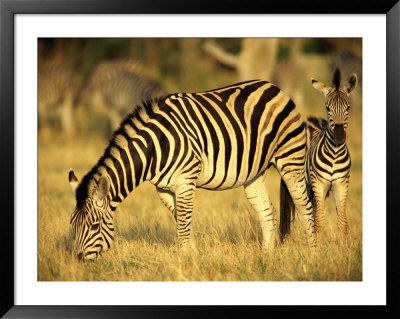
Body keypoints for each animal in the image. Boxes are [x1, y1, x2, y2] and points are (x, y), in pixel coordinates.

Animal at [69, 79, 316, 262]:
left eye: (94, 225)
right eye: (73, 225)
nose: (78, 260)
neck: (154, 148)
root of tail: (274, 87)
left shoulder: (186, 181)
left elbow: (184, 223)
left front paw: (186, 261)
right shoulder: (163, 188)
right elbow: (181, 219)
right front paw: (192, 256)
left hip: (290, 158)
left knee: (304, 205)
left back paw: (312, 253)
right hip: (253, 174)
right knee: (267, 211)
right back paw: (267, 257)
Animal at [304, 69, 358, 236]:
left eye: (348, 108)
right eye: (328, 108)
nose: (339, 136)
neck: (334, 155)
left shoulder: (342, 183)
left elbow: (343, 222)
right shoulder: (319, 183)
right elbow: (320, 222)